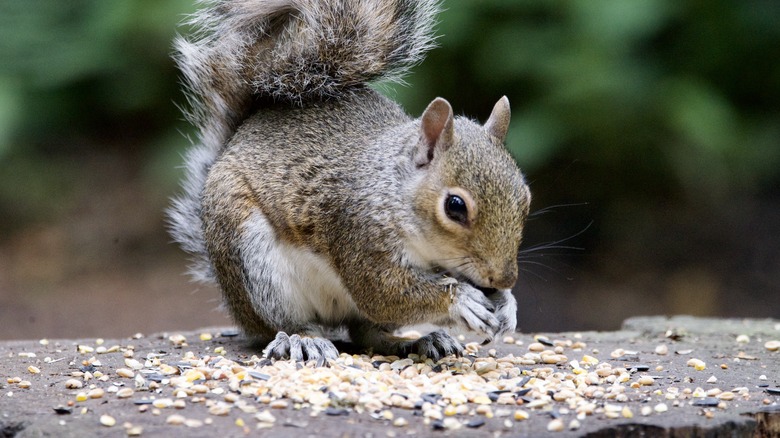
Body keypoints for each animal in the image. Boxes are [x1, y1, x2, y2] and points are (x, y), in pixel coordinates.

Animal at [168, 0, 532, 362]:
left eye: (526, 199)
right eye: (455, 206)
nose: (504, 278)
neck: (393, 190)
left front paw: (507, 305)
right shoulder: (358, 232)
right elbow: (385, 293)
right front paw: (461, 301)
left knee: (367, 332)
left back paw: (418, 341)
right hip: (253, 260)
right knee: (284, 323)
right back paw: (305, 340)